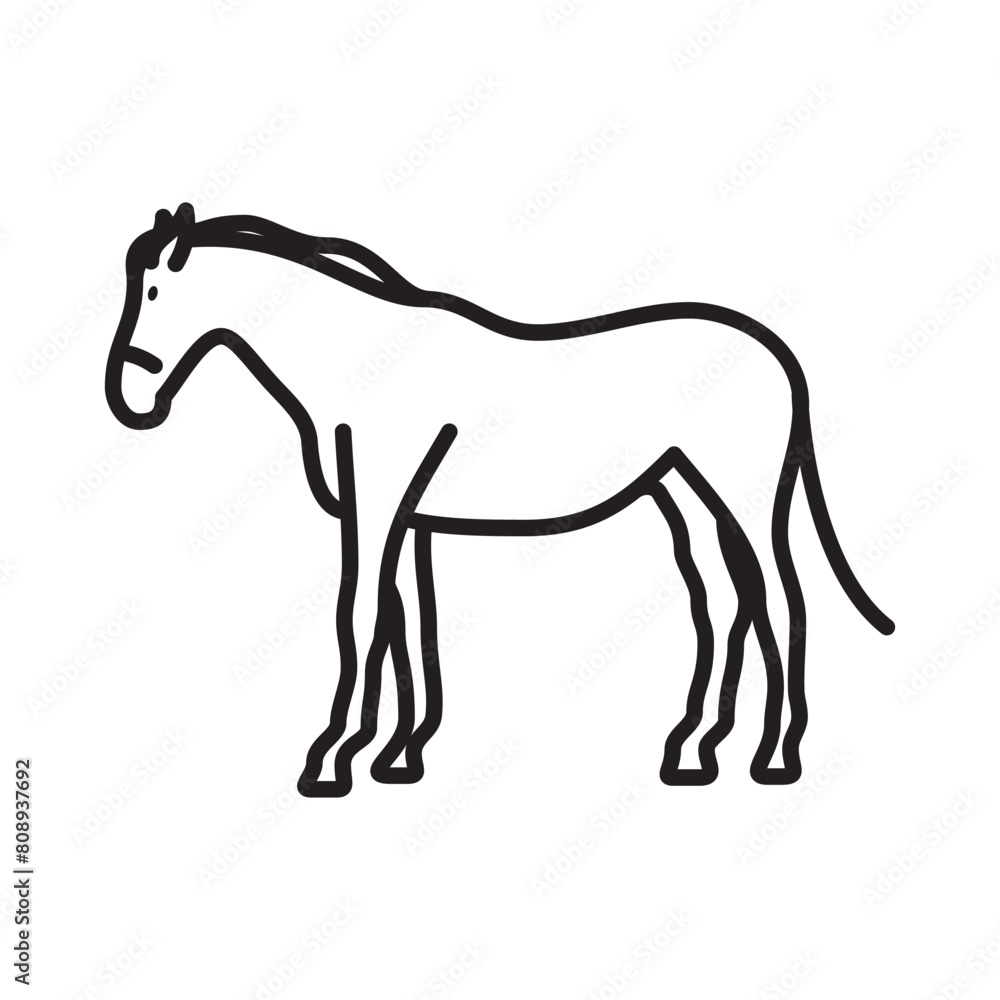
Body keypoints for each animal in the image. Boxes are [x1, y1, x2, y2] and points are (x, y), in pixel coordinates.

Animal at [105, 203, 894, 797]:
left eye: (153, 292)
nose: (131, 399)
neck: (364, 361)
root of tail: (774, 353)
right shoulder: (409, 517)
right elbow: (406, 621)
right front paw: (397, 755)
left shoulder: (378, 503)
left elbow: (359, 617)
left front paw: (330, 759)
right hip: (682, 494)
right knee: (726, 603)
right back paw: (695, 752)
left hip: (741, 494)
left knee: (782, 599)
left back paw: (775, 757)